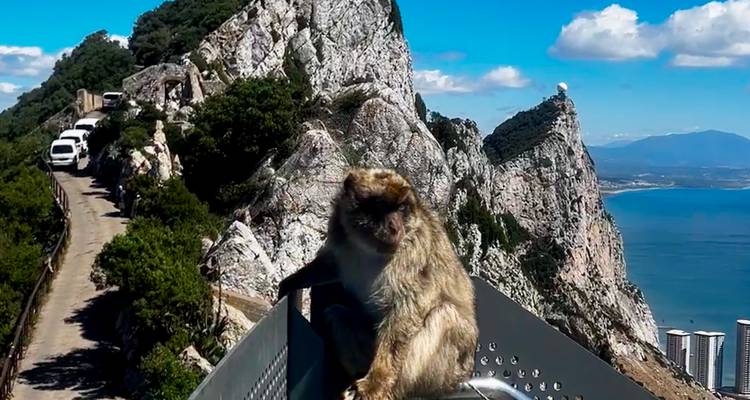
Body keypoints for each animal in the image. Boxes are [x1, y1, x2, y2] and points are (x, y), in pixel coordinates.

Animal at [277, 168, 478, 400]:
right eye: (381, 207)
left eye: (401, 209)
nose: (395, 227)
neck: (368, 249)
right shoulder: (340, 235)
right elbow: (330, 265)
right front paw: (289, 284)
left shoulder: (411, 256)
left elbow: (405, 311)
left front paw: (375, 382)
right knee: (338, 315)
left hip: (447, 373)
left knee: (445, 315)